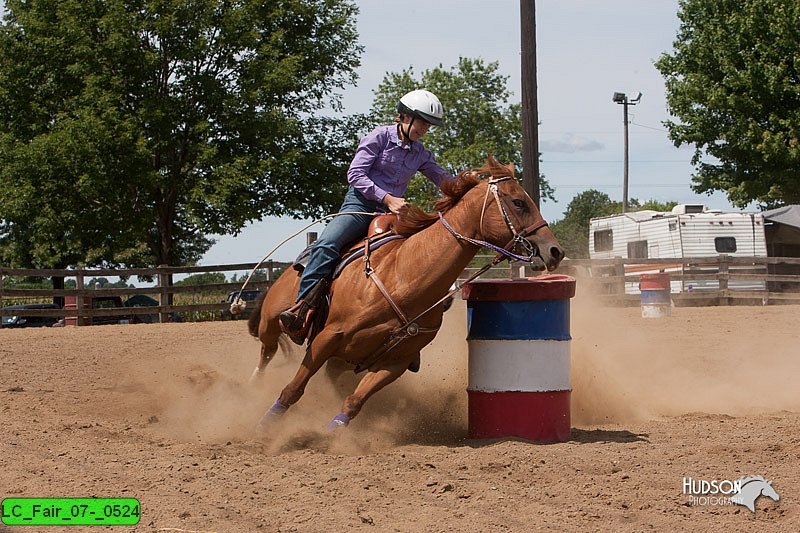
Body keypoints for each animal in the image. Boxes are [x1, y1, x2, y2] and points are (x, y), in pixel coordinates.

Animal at [247, 156, 564, 430]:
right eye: (519, 202)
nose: (555, 251)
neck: (404, 279)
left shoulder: (395, 363)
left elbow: (353, 402)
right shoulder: (327, 337)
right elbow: (293, 389)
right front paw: (265, 425)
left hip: (341, 362)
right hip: (272, 321)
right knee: (267, 350)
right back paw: (251, 385)